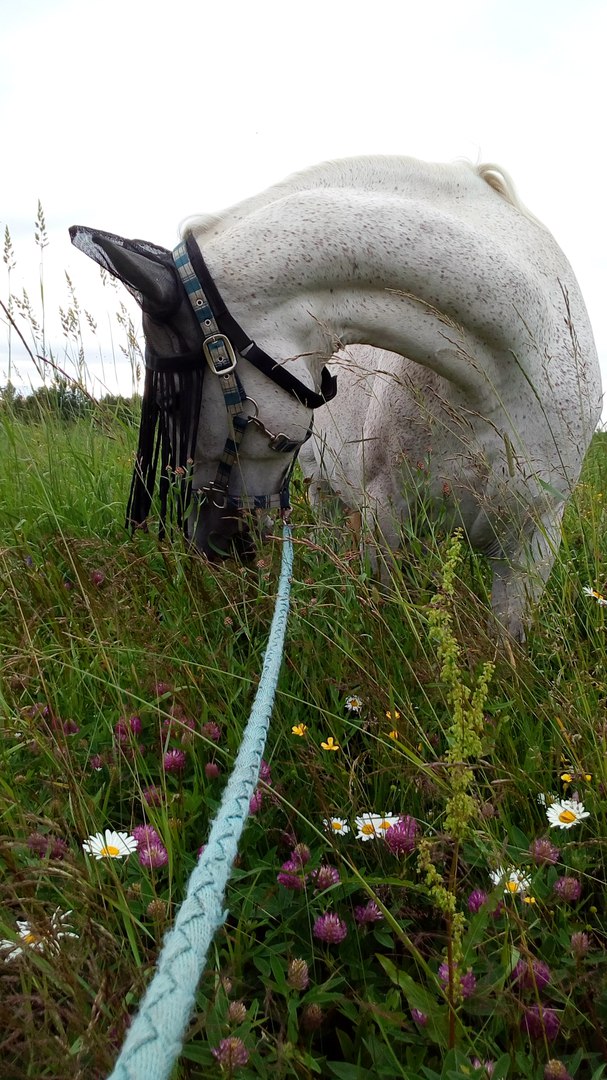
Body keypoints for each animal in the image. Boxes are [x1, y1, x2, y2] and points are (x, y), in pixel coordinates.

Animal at [70, 155, 601, 642]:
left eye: (173, 402)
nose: (208, 544)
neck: (503, 372)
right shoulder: (387, 516)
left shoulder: (533, 544)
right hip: (318, 487)